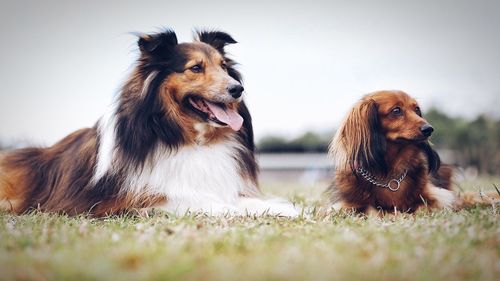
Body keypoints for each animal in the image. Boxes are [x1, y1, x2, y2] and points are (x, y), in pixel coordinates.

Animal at [0, 28, 296, 217]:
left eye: (224, 66)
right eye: (195, 68)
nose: (237, 89)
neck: (191, 140)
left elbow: (251, 202)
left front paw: (286, 208)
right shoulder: (119, 203)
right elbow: (185, 202)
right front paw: (224, 209)